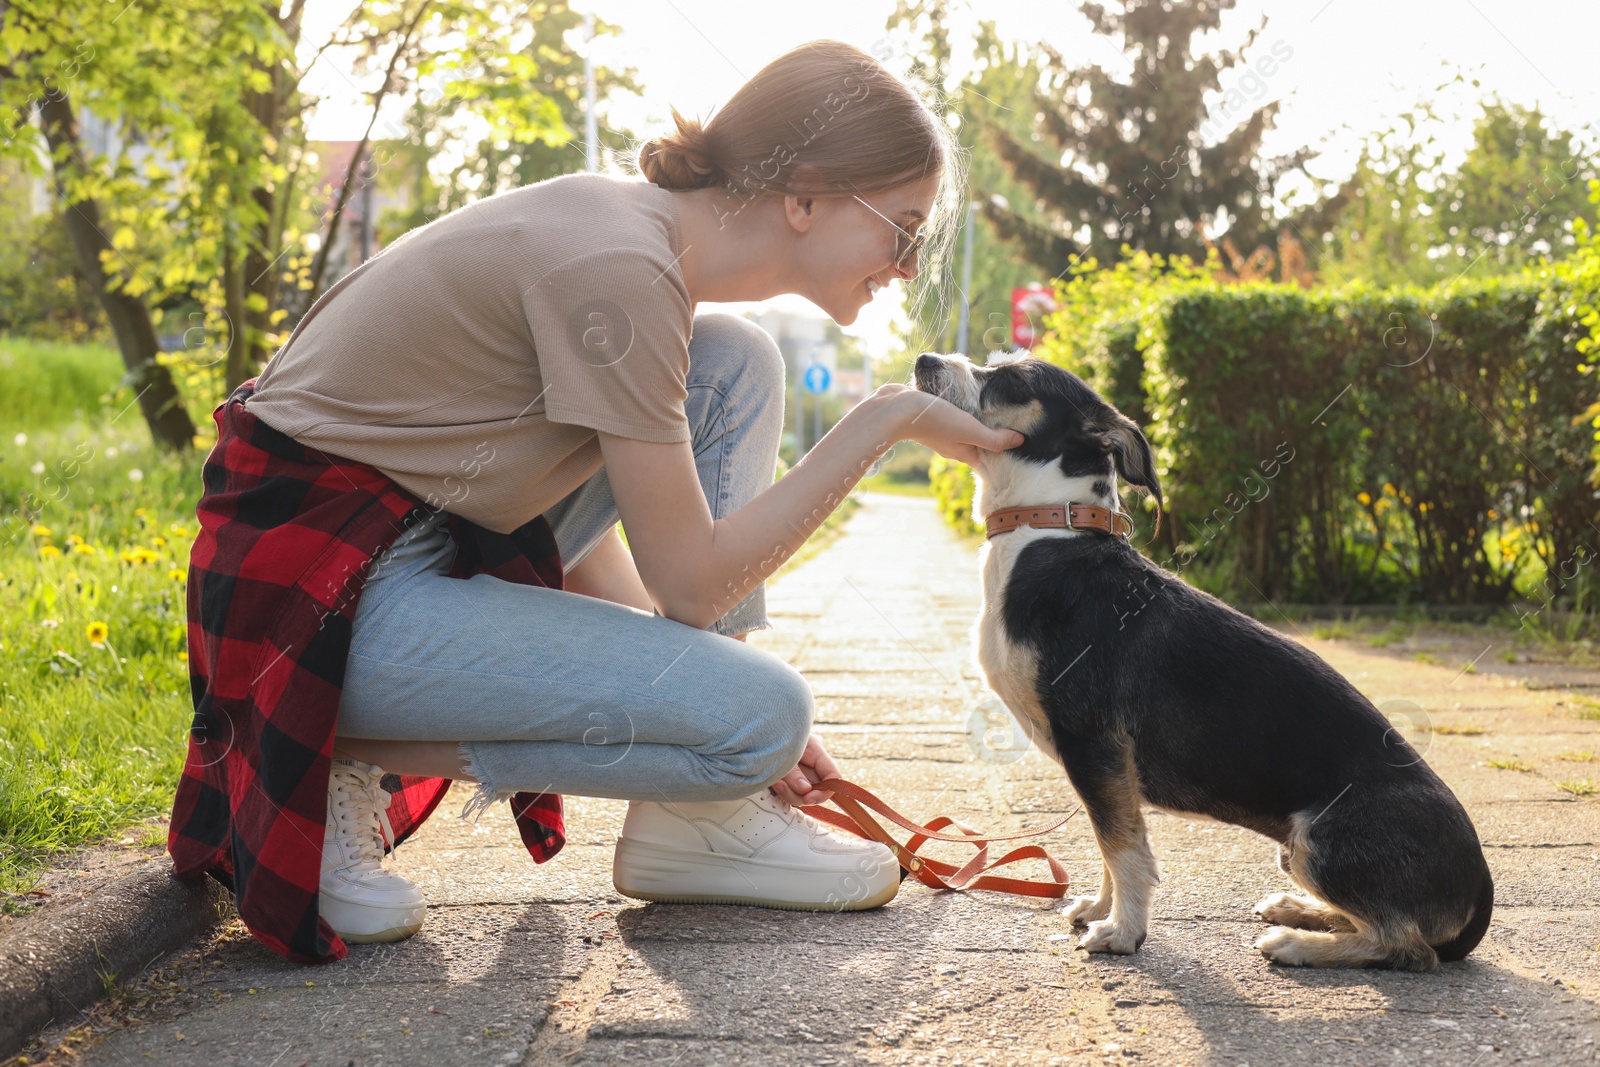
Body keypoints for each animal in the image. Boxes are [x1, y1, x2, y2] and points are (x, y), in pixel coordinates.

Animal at [921, 355, 1491, 972]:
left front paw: (1122, 931)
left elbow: (1123, 848)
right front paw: (1101, 909)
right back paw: (1299, 910)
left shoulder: (1095, 746)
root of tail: (1481, 893)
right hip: (1294, 851)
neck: (1046, 528)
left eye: (1011, 381)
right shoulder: (1106, 768)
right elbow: (1110, 842)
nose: (923, 362)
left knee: (1407, 945)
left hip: (1319, 842)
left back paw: (1297, 943)